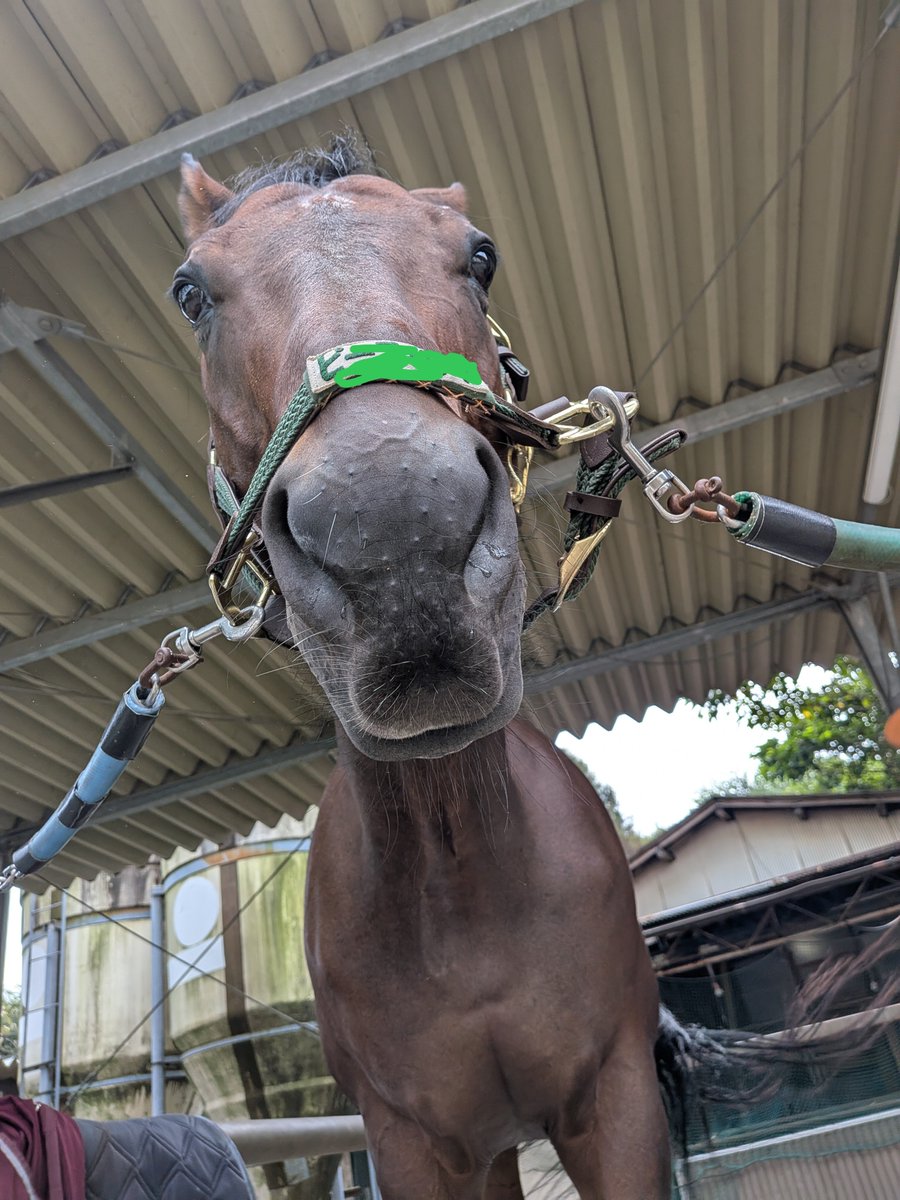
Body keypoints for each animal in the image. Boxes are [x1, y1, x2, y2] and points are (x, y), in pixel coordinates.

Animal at [169, 139, 724, 1198]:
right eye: (190, 293)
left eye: (481, 256)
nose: (395, 534)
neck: (459, 876)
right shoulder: (416, 1141)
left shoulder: (615, 1102)